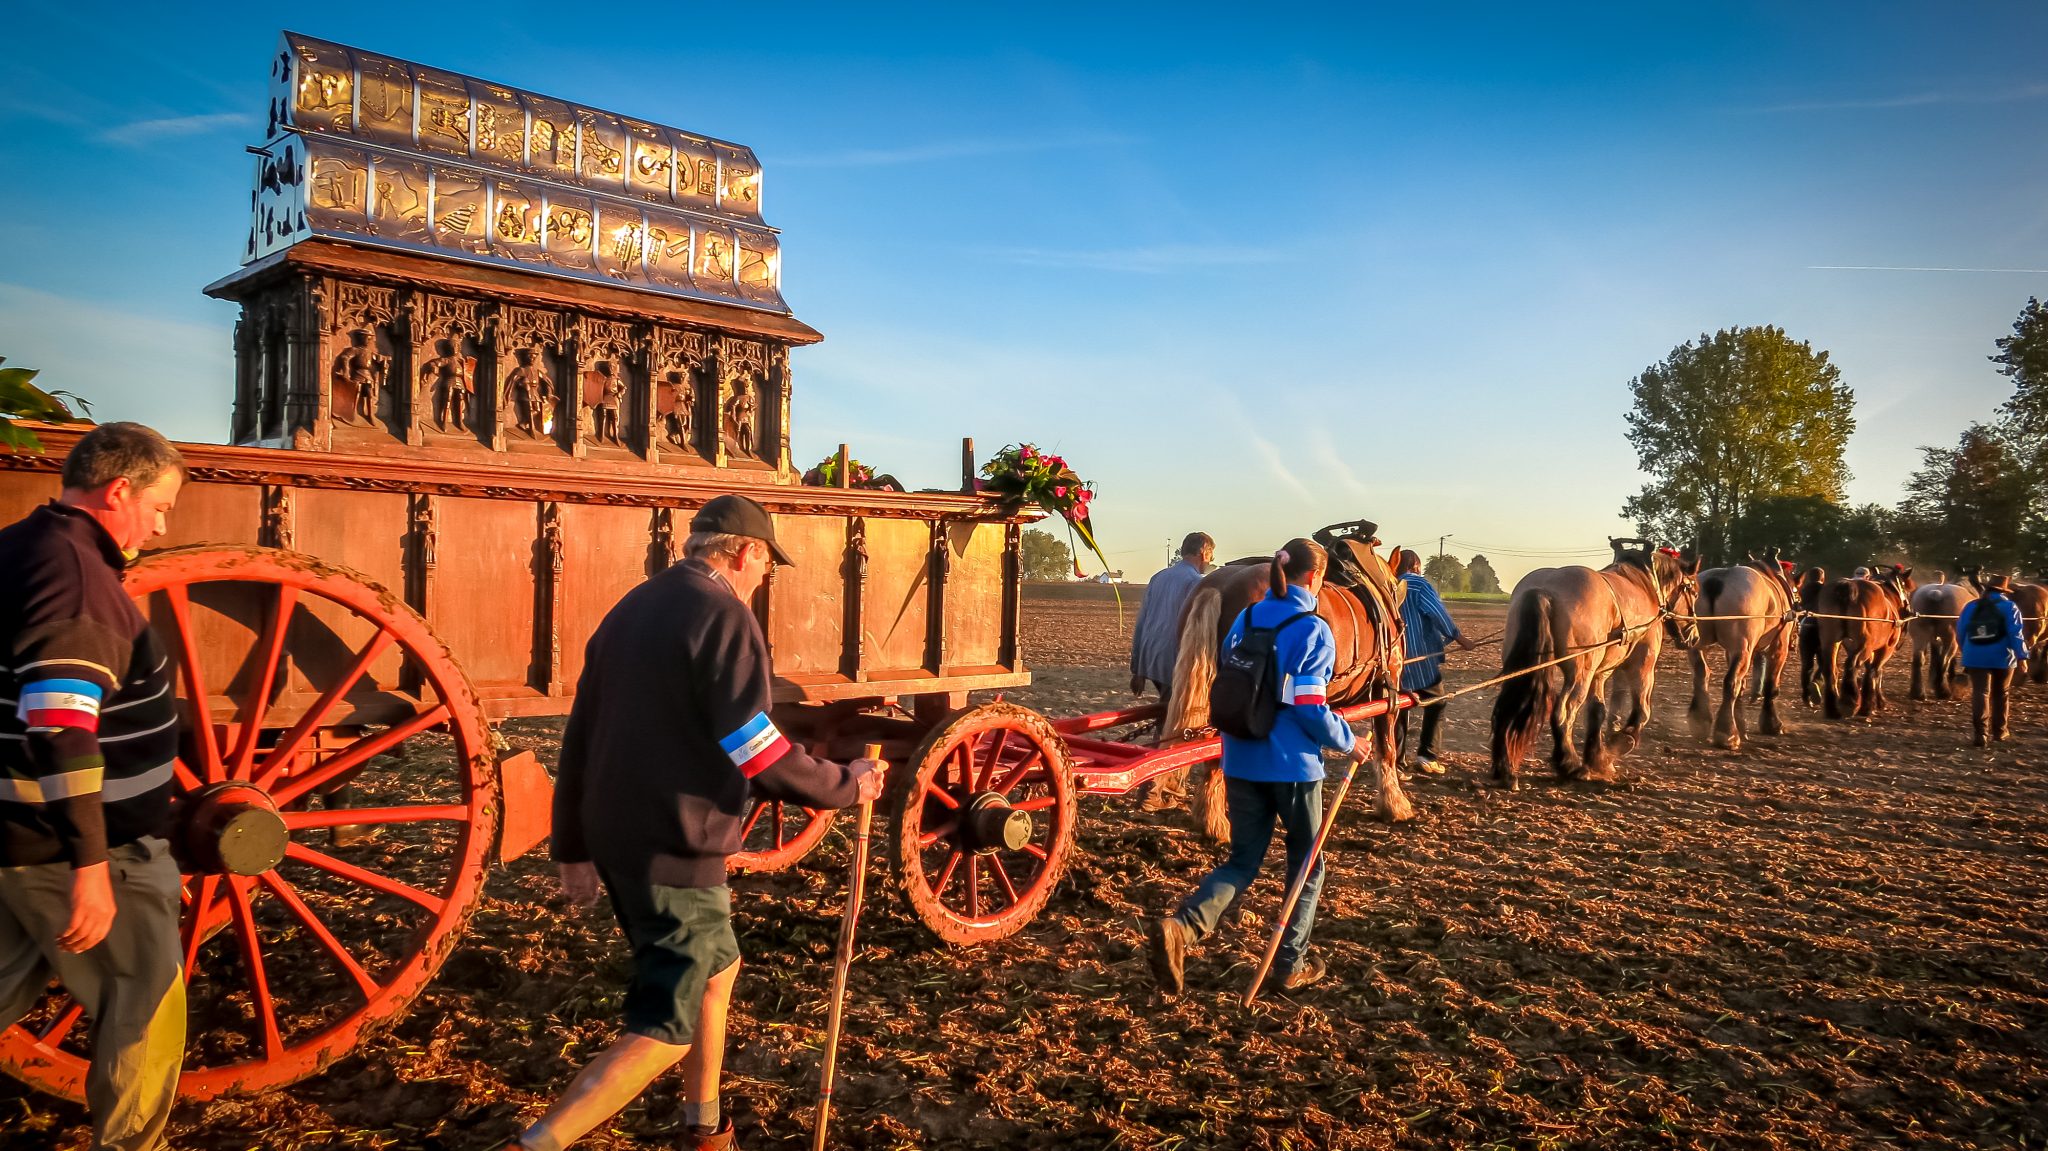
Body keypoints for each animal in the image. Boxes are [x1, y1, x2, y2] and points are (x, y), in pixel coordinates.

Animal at [1482, 540, 1703, 782]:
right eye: (1694, 592)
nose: (1694, 637)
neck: (1645, 584)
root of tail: (1544, 588)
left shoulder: (1600, 674)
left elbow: (1597, 710)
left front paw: (1597, 758)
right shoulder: (1643, 664)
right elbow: (1642, 710)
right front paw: (1619, 744)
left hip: (1525, 667)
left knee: (1507, 708)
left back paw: (1504, 767)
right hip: (1581, 673)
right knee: (1563, 712)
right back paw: (1569, 763)